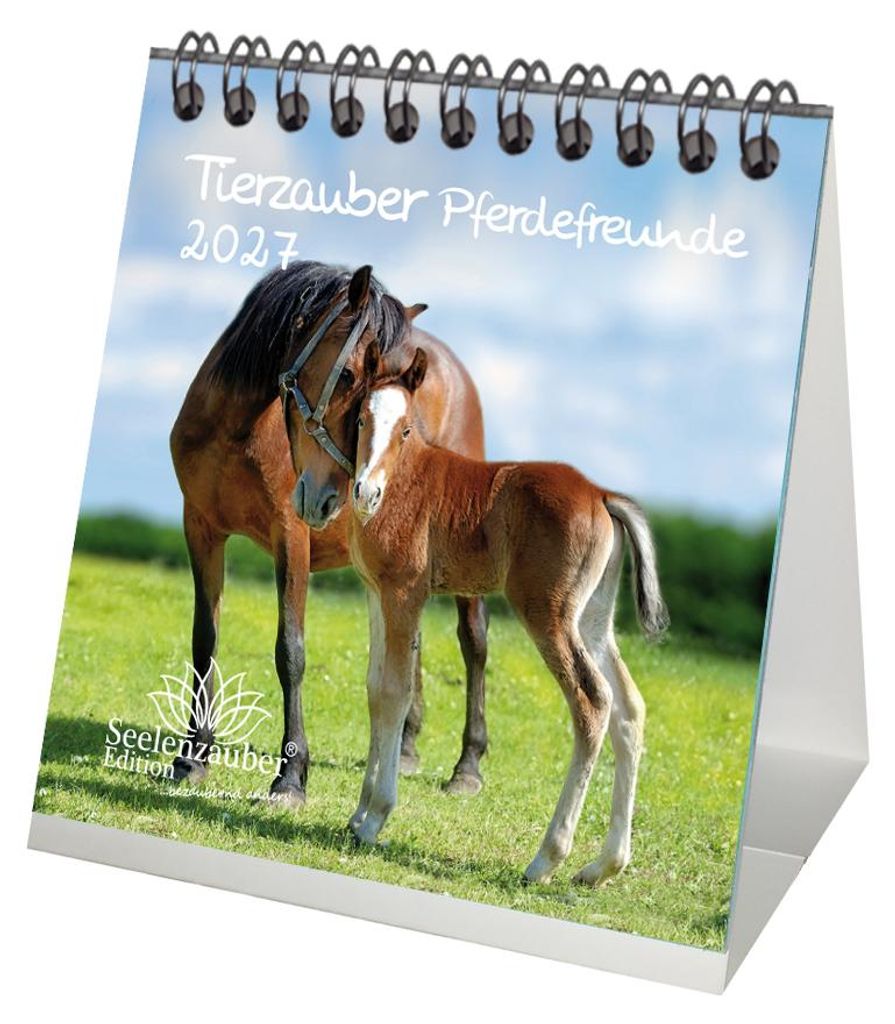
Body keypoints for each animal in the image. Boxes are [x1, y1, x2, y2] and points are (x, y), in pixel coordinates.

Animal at [170, 261, 491, 805]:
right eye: (350, 375)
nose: (342, 496)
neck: (236, 430)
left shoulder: (291, 537)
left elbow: (291, 651)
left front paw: (291, 776)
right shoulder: (201, 528)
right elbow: (203, 640)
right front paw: (193, 755)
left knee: (474, 640)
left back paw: (467, 767)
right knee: (411, 639)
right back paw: (405, 749)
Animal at [344, 341, 668, 884]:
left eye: (406, 428)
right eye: (363, 417)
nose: (365, 492)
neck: (406, 477)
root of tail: (601, 495)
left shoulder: (405, 593)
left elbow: (395, 692)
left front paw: (375, 818)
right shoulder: (374, 592)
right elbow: (372, 689)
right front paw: (358, 813)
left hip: (547, 614)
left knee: (592, 703)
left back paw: (546, 859)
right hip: (591, 621)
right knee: (629, 708)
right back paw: (603, 865)